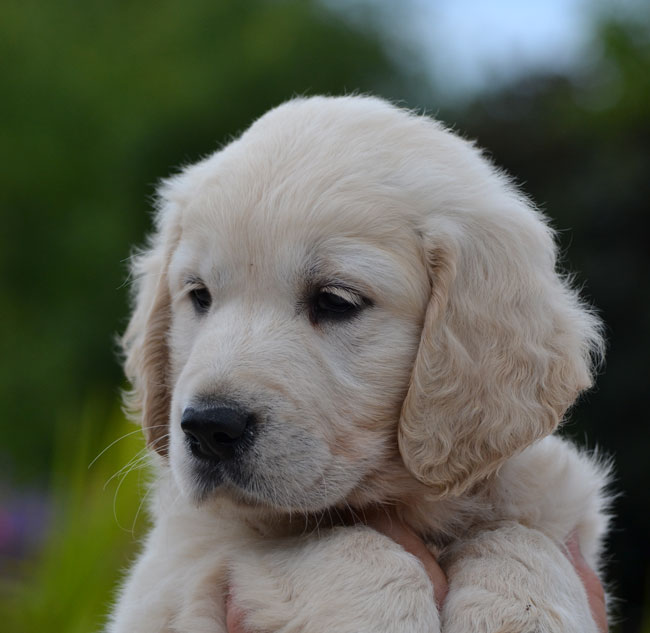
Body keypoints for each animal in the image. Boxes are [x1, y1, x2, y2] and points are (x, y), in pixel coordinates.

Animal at [109, 95, 612, 632]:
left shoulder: (557, 509)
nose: (208, 427)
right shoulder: (174, 572)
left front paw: (521, 610)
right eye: (199, 295)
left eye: (335, 300)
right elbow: (337, 542)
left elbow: (525, 538)